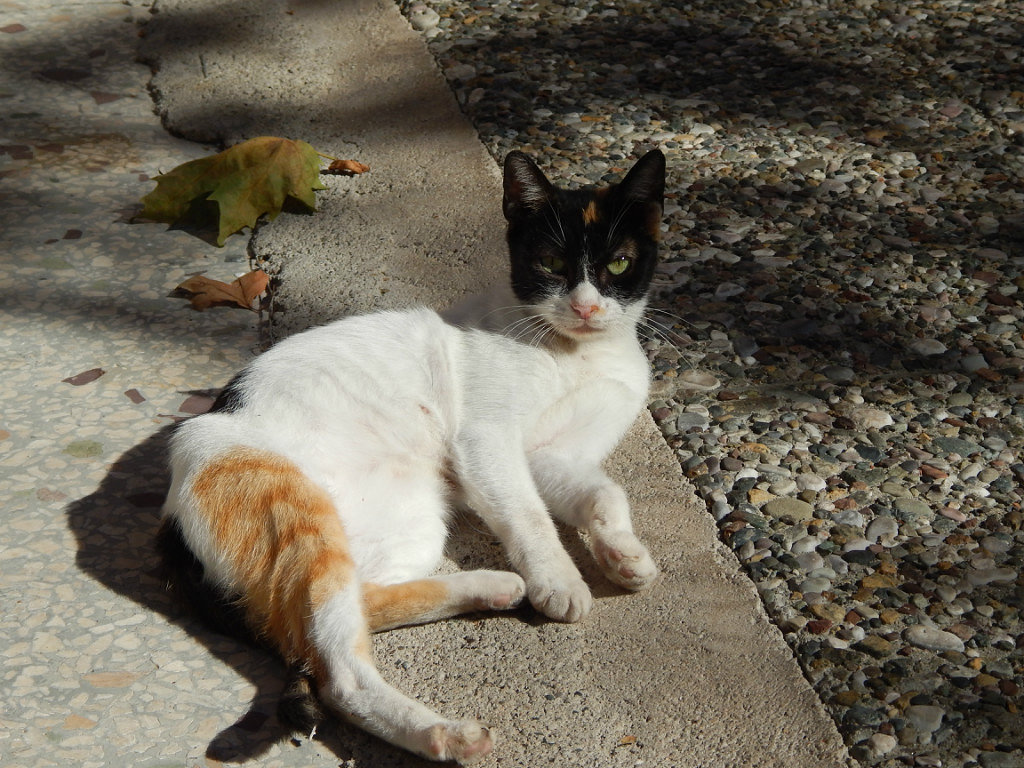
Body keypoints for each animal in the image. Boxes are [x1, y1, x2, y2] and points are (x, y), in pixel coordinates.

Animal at [152, 148, 663, 765]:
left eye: (618, 264)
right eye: (549, 262)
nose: (586, 308)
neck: (577, 354)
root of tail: (169, 521)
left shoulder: (551, 458)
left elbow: (606, 494)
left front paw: (623, 554)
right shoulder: (488, 443)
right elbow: (530, 517)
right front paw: (559, 580)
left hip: (409, 526)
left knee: (350, 606)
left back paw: (489, 587)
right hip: (298, 517)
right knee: (338, 675)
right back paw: (446, 734)